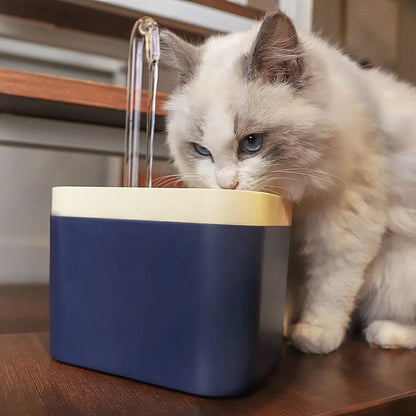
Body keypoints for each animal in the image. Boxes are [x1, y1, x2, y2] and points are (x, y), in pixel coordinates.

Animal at [159, 9, 416, 352]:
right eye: (202, 151)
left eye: (252, 143)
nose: (227, 186)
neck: (296, 199)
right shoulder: (289, 244)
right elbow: (286, 290)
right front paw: (279, 325)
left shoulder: (344, 224)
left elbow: (331, 287)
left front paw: (314, 334)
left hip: (397, 276)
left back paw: (383, 332)